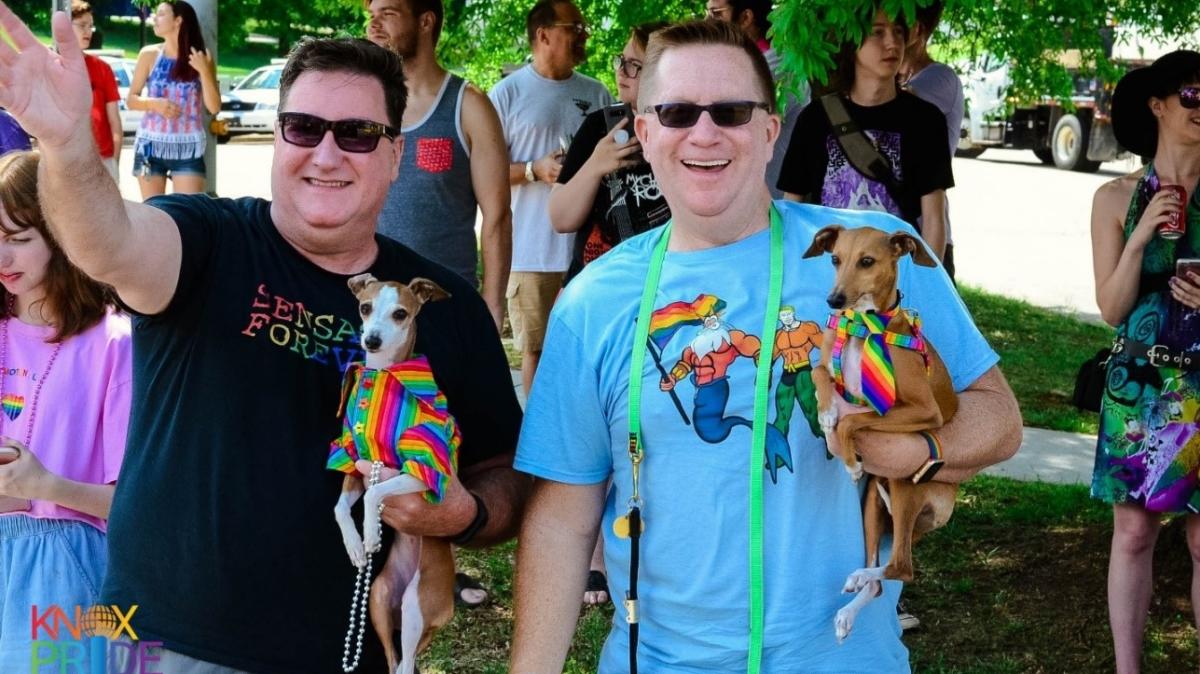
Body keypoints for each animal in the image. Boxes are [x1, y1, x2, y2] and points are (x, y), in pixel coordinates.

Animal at [331, 271, 456, 671]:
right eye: (365, 307)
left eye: (400, 313)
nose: (371, 339)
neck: (384, 373)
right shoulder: (354, 462)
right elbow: (340, 507)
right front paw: (356, 546)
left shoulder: (422, 471)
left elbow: (375, 492)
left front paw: (371, 533)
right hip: (379, 599)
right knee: (393, 658)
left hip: (417, 605)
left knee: (405, 662)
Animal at [801, 226, 960, 638]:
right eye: (835, 259)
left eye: (867, 261)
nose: (834, 300)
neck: (864, 326)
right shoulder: (830, 370)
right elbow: (819, 374)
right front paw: (826, 413)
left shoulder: (922, 411)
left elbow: (856, 419)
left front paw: (850, 458)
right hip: (875, 502)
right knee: (880, 580)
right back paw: (852, 601)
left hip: (905, 486)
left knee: (902, 567)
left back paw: (859, 575)